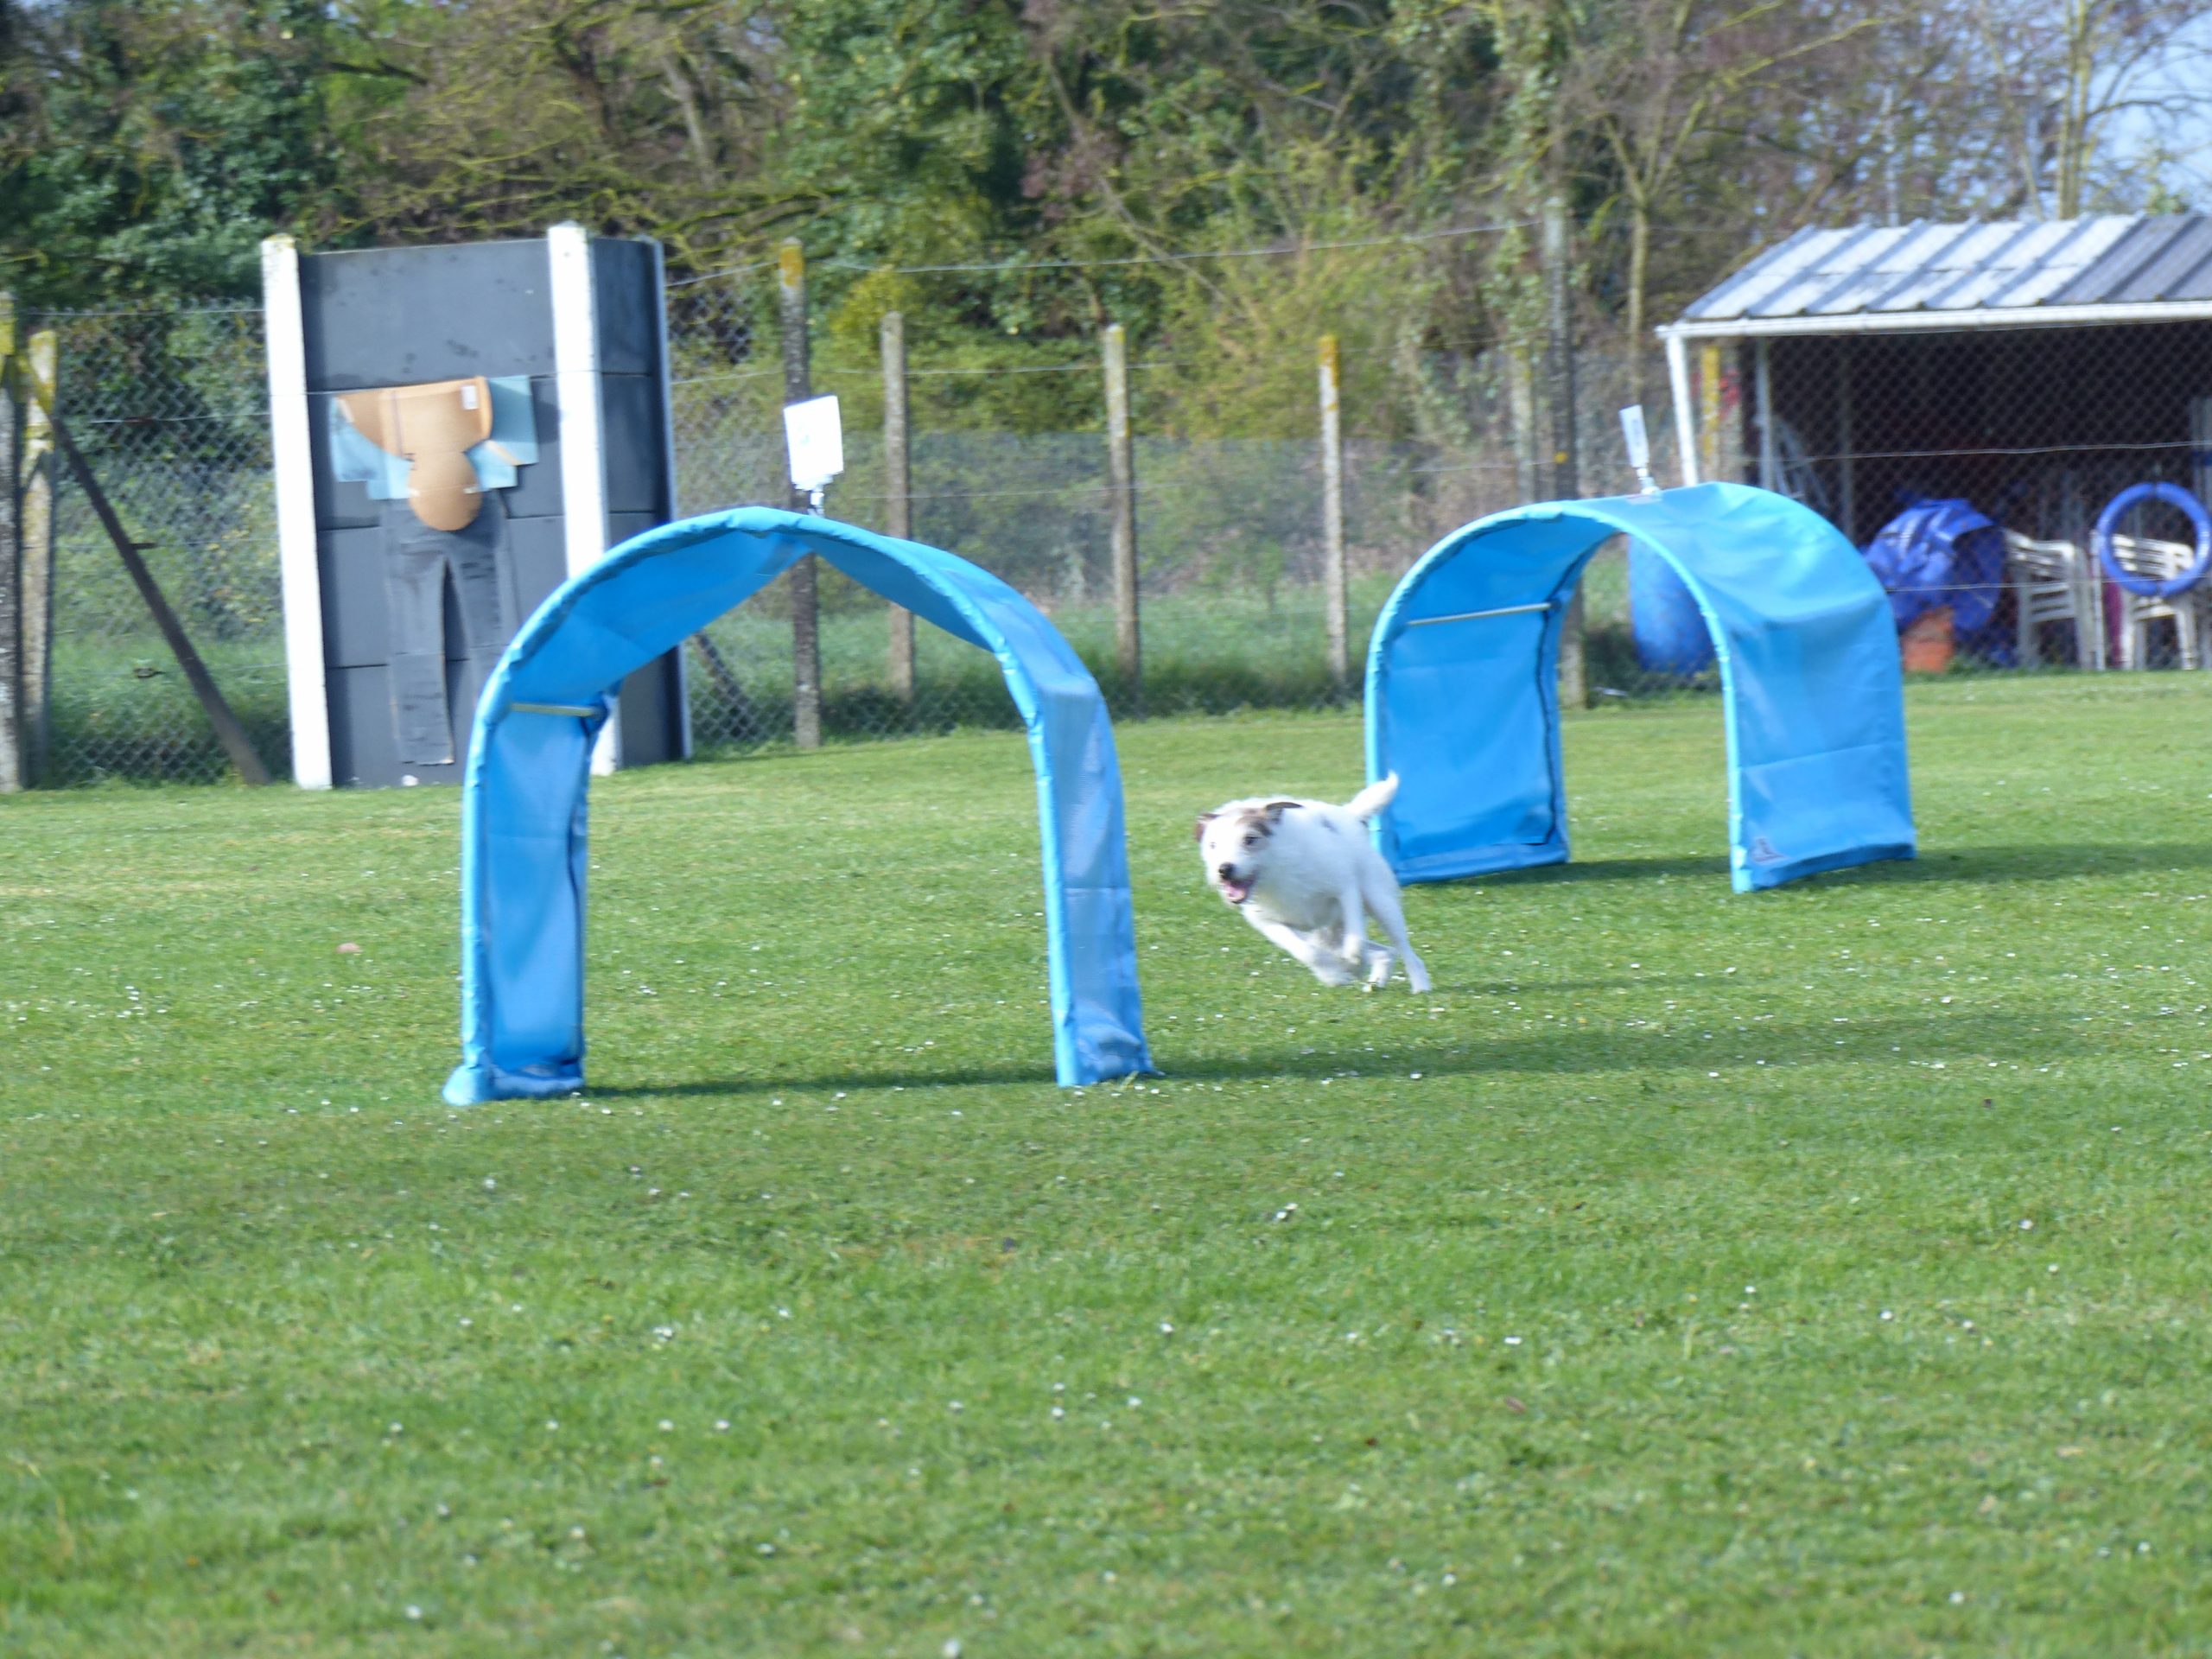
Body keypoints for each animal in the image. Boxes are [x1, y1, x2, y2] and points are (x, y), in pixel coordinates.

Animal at [1196, 775, 1431, 993]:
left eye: (1250, 839)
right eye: (1213, 845)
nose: (1224, 870)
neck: (1276, 869)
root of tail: (1348, 815)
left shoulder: (1345, 888)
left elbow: (1356, 936)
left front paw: (1354, 961)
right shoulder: (1268, 922)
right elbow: (1306, 952)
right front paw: (1333, 976)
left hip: (1380, 904)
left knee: (1403, 949)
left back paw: (1419, 985)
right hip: (1326, 933)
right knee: (1383, 951)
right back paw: (1373, 977)